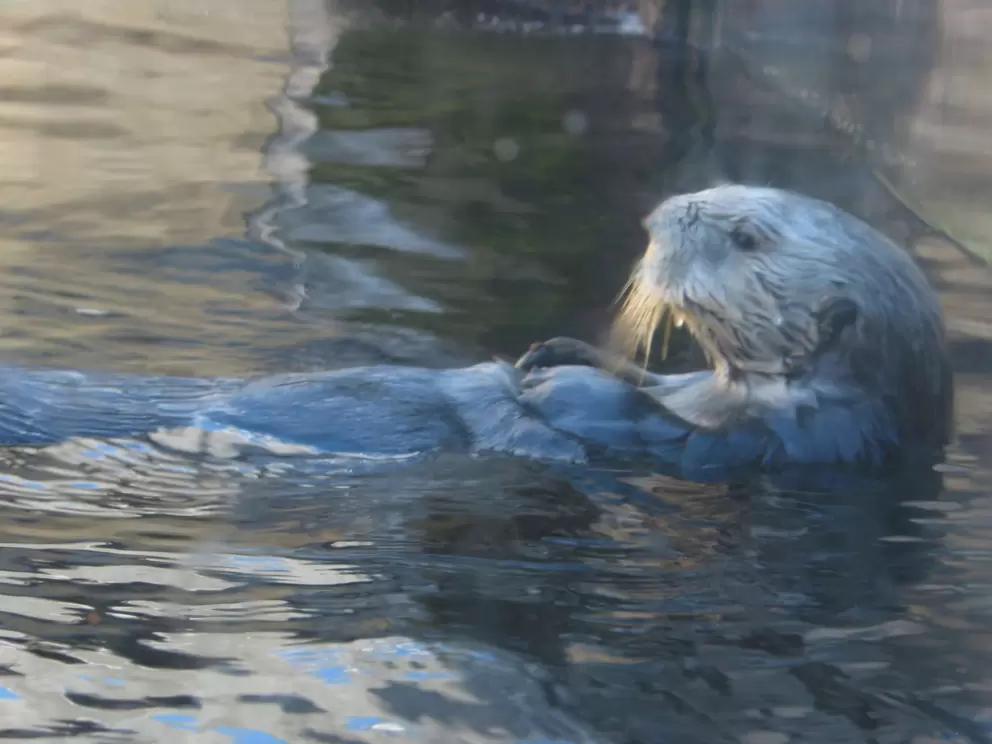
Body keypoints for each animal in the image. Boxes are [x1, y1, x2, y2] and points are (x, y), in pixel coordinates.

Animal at [0, 185, 952, 478]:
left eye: (747, 235)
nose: (657, 216)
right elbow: (644, 387)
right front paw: (550, 353)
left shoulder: (789, 441)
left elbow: (652, 428)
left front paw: (551, 381)